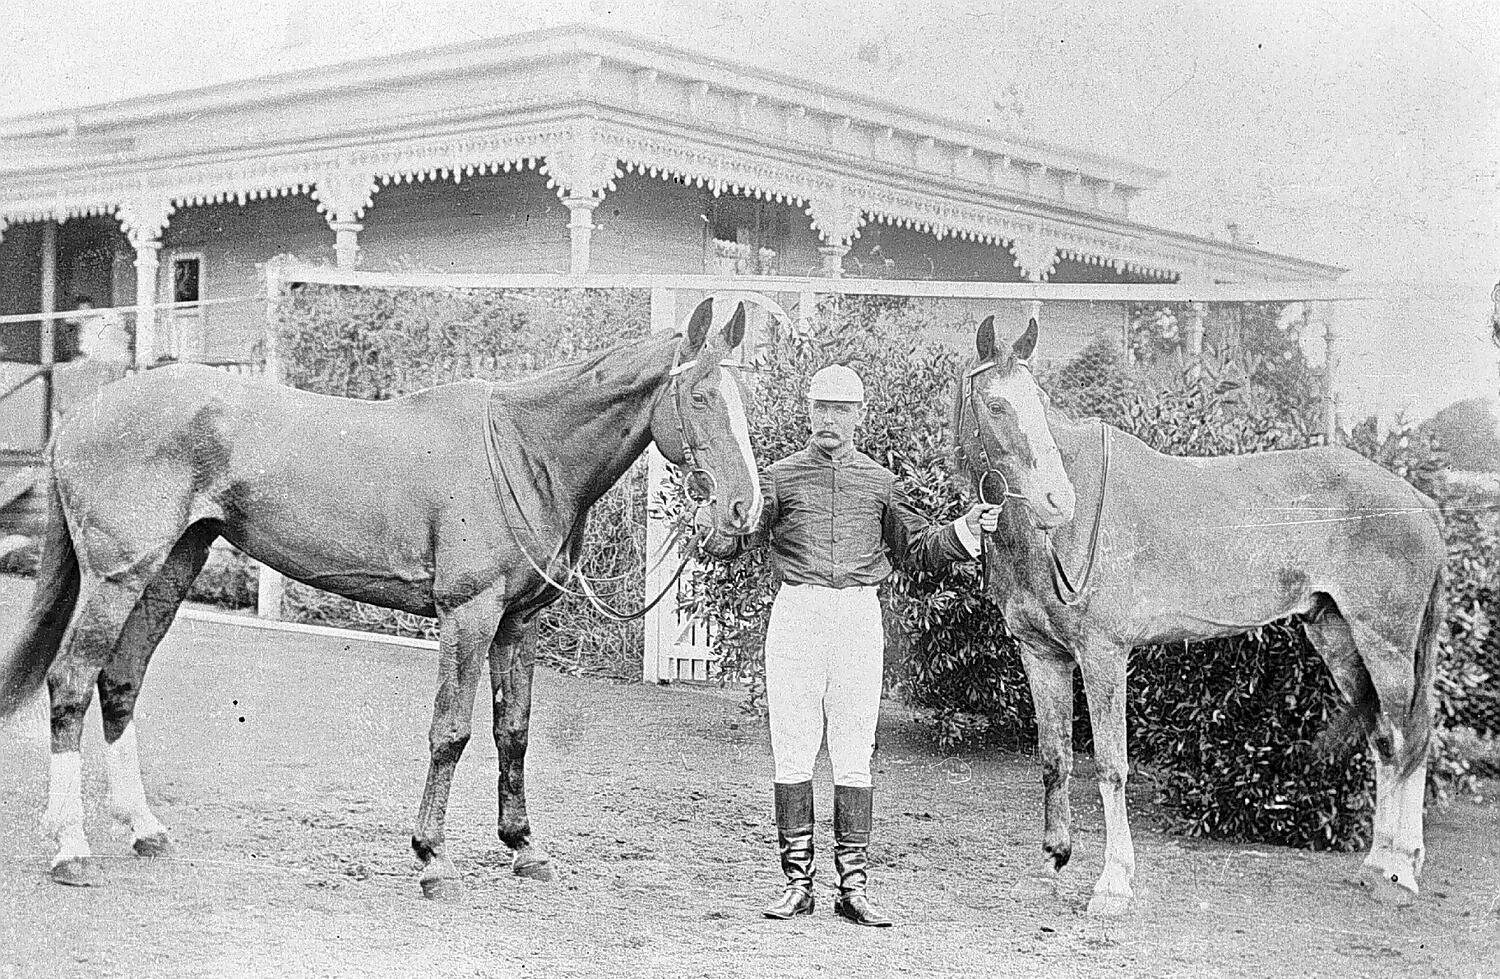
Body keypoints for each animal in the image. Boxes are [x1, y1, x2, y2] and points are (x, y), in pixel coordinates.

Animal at [0, 296, 763, 899]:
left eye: (742, 398)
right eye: (700, 396)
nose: (741, 510)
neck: (524, 453)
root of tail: (82, 415)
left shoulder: (517, 625)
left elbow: (512, 733)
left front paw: (525, 849)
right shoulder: (468, 616)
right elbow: (450, 732)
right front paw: (433, 859)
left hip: (169, 572)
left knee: (120, 683)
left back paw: (144, 829)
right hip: (119, 577)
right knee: (70, 683)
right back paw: (70, 847)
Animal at [953, 315, 1445, 914]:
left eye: (1039, 401)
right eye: (997, 404)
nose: (1057, 500)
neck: (1053, 536)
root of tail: (1420, 502)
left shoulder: (1103, 654)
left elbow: (1111, 765)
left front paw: (1113, 883)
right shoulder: (1042, 654)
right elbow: (1053, 756)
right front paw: (1055, 856)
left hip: (1387, 644)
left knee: (1409, 737)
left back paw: (1399, 872)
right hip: (1339, 638)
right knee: (1383, 742)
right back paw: (1378, 867)